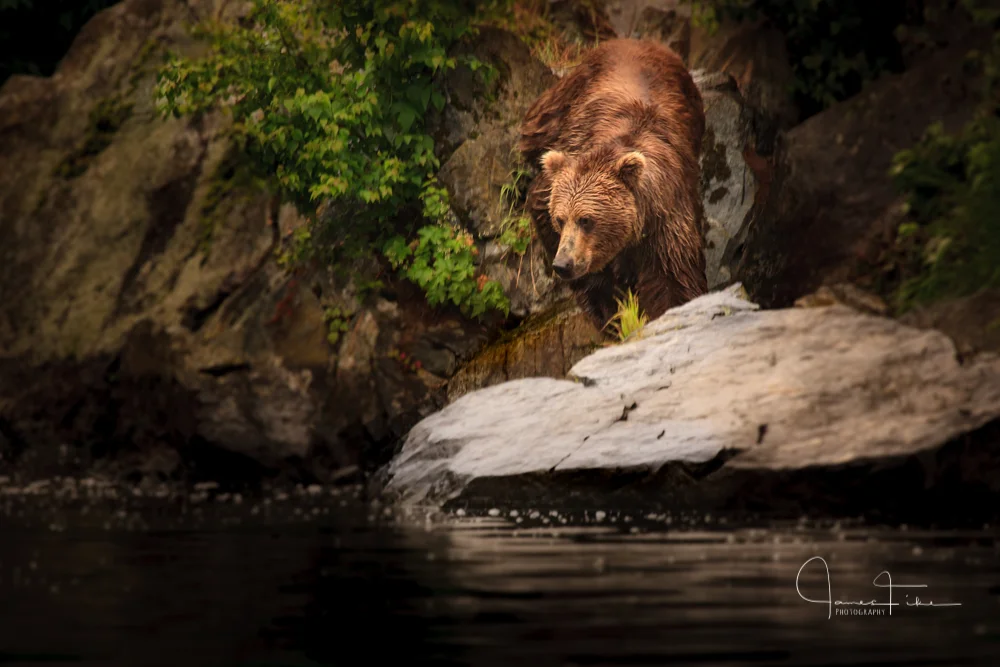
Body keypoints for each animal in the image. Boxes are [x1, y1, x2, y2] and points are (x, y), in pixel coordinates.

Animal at [518, 39, 709, 331]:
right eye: (560, 219)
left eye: (586, 219)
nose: (563, 264)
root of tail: (639, 41)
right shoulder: (561, 170)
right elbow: (540, 204)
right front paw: (607, 305)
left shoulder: (666, 214)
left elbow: (673, 278)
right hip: (565, 97)